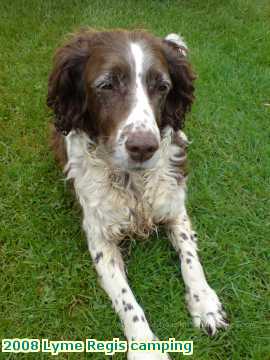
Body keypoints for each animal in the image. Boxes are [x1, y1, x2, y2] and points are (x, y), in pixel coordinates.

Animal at [47, 28, 228, 360]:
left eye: (163, 87)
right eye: (106, 85)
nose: (143, 147)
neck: (133, 182)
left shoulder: (174, 207)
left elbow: (190, 258)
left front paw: (205, 303)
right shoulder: (100, 238)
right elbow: (125, 297)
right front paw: (146, 348)